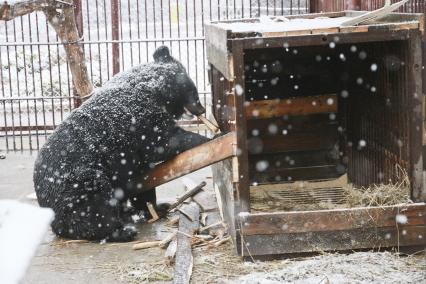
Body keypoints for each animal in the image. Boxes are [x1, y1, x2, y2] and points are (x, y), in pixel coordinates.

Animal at [34, 46, 210, 242]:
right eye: (194, 91)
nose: (202, 109)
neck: (154, 89)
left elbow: (144, 181)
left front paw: (156, 208)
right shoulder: (139, 119)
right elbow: (162, 141)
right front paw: (209, 137)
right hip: (79, 182)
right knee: (95, 207)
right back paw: (121, 231)